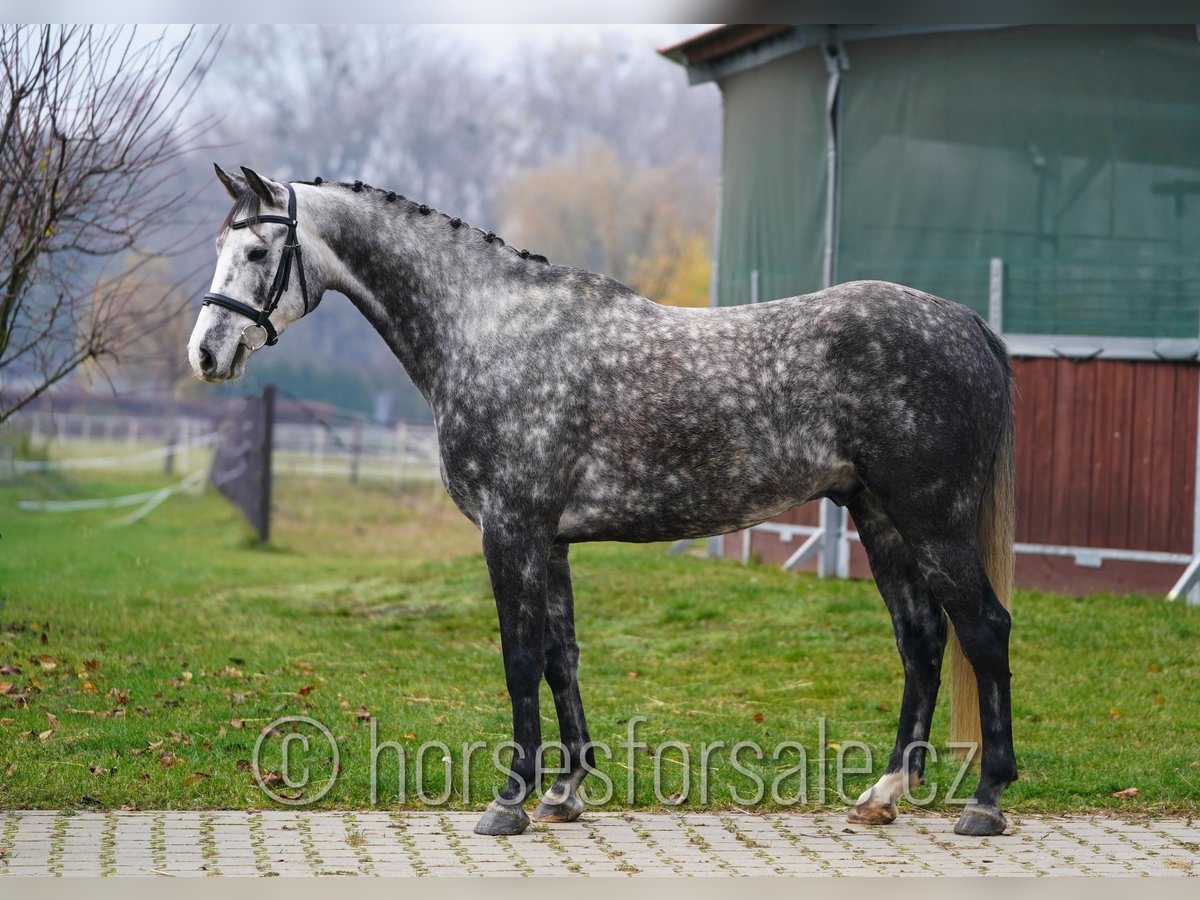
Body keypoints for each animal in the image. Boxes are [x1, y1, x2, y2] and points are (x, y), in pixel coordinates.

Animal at [189, 165, 1017, 838]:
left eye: (258, 253)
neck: (489, 328)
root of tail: (968, 324)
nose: (205, 354)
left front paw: (509, 802)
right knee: (921, 638)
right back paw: (885, 792)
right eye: (220, 246)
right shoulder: (550, 540)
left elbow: (520, 659)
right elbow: (562, 659)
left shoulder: (510, 530)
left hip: (931, 520)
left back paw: (986, 802)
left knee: (983, 629)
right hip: (879, 517)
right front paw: (565, 793)